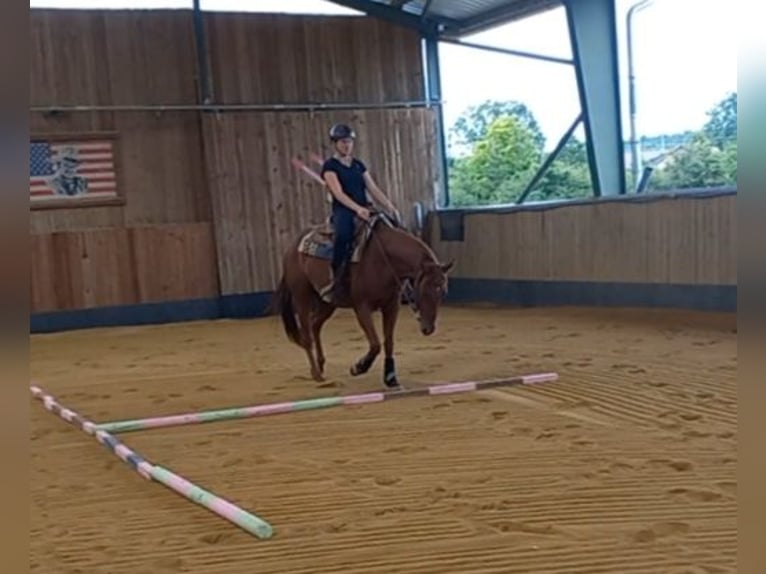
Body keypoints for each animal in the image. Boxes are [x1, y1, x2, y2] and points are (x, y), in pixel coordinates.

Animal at [274, 213, 456, 392]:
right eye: (424, 289)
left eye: (443, 292)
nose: (428, 329)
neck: (383, 259)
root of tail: (292, 247)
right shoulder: (362, 307)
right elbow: (375, 344)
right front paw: (358, 367)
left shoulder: (391, 306)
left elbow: (388, 342)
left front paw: (391, 378)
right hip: (301, 296)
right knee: (306, 335)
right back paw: (316, 374)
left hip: (328, 302)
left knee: (315, 325)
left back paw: (320, 365)